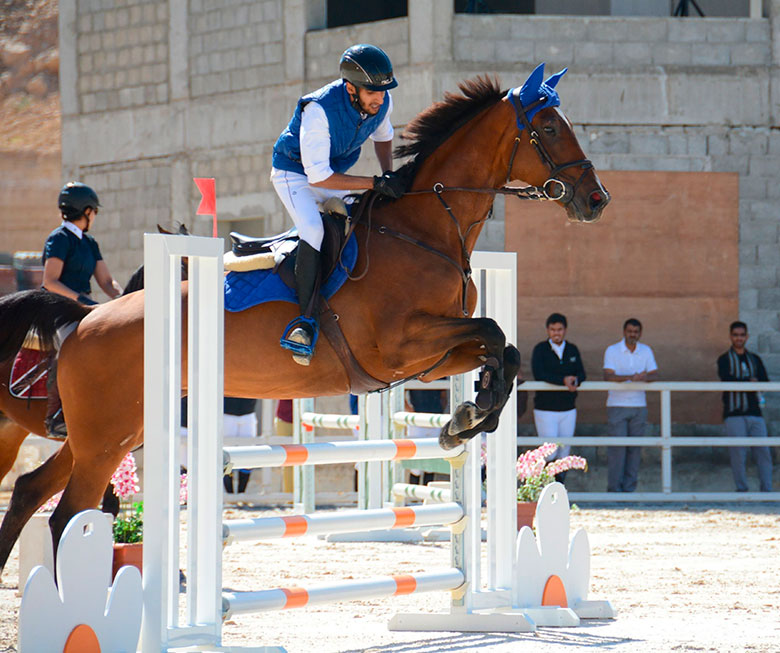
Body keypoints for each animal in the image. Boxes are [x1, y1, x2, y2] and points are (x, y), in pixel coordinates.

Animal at [0, 67, 609, 573]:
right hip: (107, 435)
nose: (597, 200)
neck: (424, 231)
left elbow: (501, 348)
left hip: (116, 430)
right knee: (68, 513)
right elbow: (493, 333)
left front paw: (467, 415)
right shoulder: (401, 345)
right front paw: (470, 416)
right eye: (549, 128)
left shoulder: (431, 357)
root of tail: (86, 320)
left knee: (32, 489)